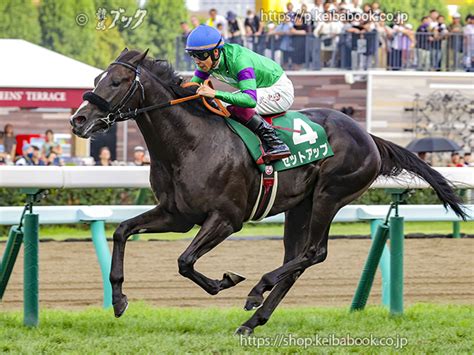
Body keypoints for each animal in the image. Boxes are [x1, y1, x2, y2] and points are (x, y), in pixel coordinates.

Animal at [70, 50, 466, 336]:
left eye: (117, 81)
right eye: (96, 78)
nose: (78, 120)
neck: (190, 143)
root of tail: (368, 135)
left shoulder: (227, 219)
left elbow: (185, 261)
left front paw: (225, 280)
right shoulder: (177, 215)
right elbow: (123, 231)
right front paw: (119, 299)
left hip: (330, 195)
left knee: (314, 252)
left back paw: (257, 289)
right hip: (299, 206)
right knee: (296, 261)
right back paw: (252, 320)